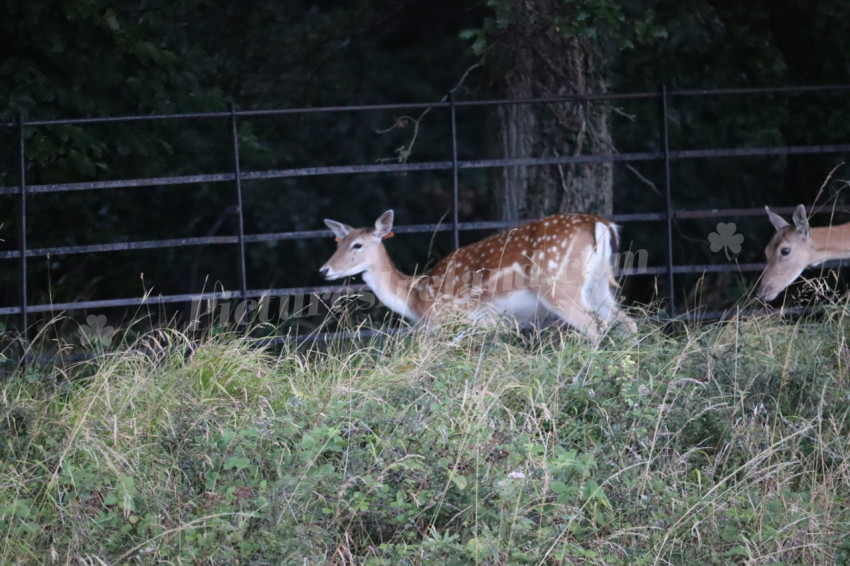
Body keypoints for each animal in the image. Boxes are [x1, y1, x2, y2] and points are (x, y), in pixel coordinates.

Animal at [319, 210, 637, 341]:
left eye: (357, 245)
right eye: (338, 242)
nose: (324, 269)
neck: (415, 296)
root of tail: (600, 224)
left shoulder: (448, 320)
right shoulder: (485, 323)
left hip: (558, 284)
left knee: (594, 327)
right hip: (598, 286)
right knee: (627, 324)